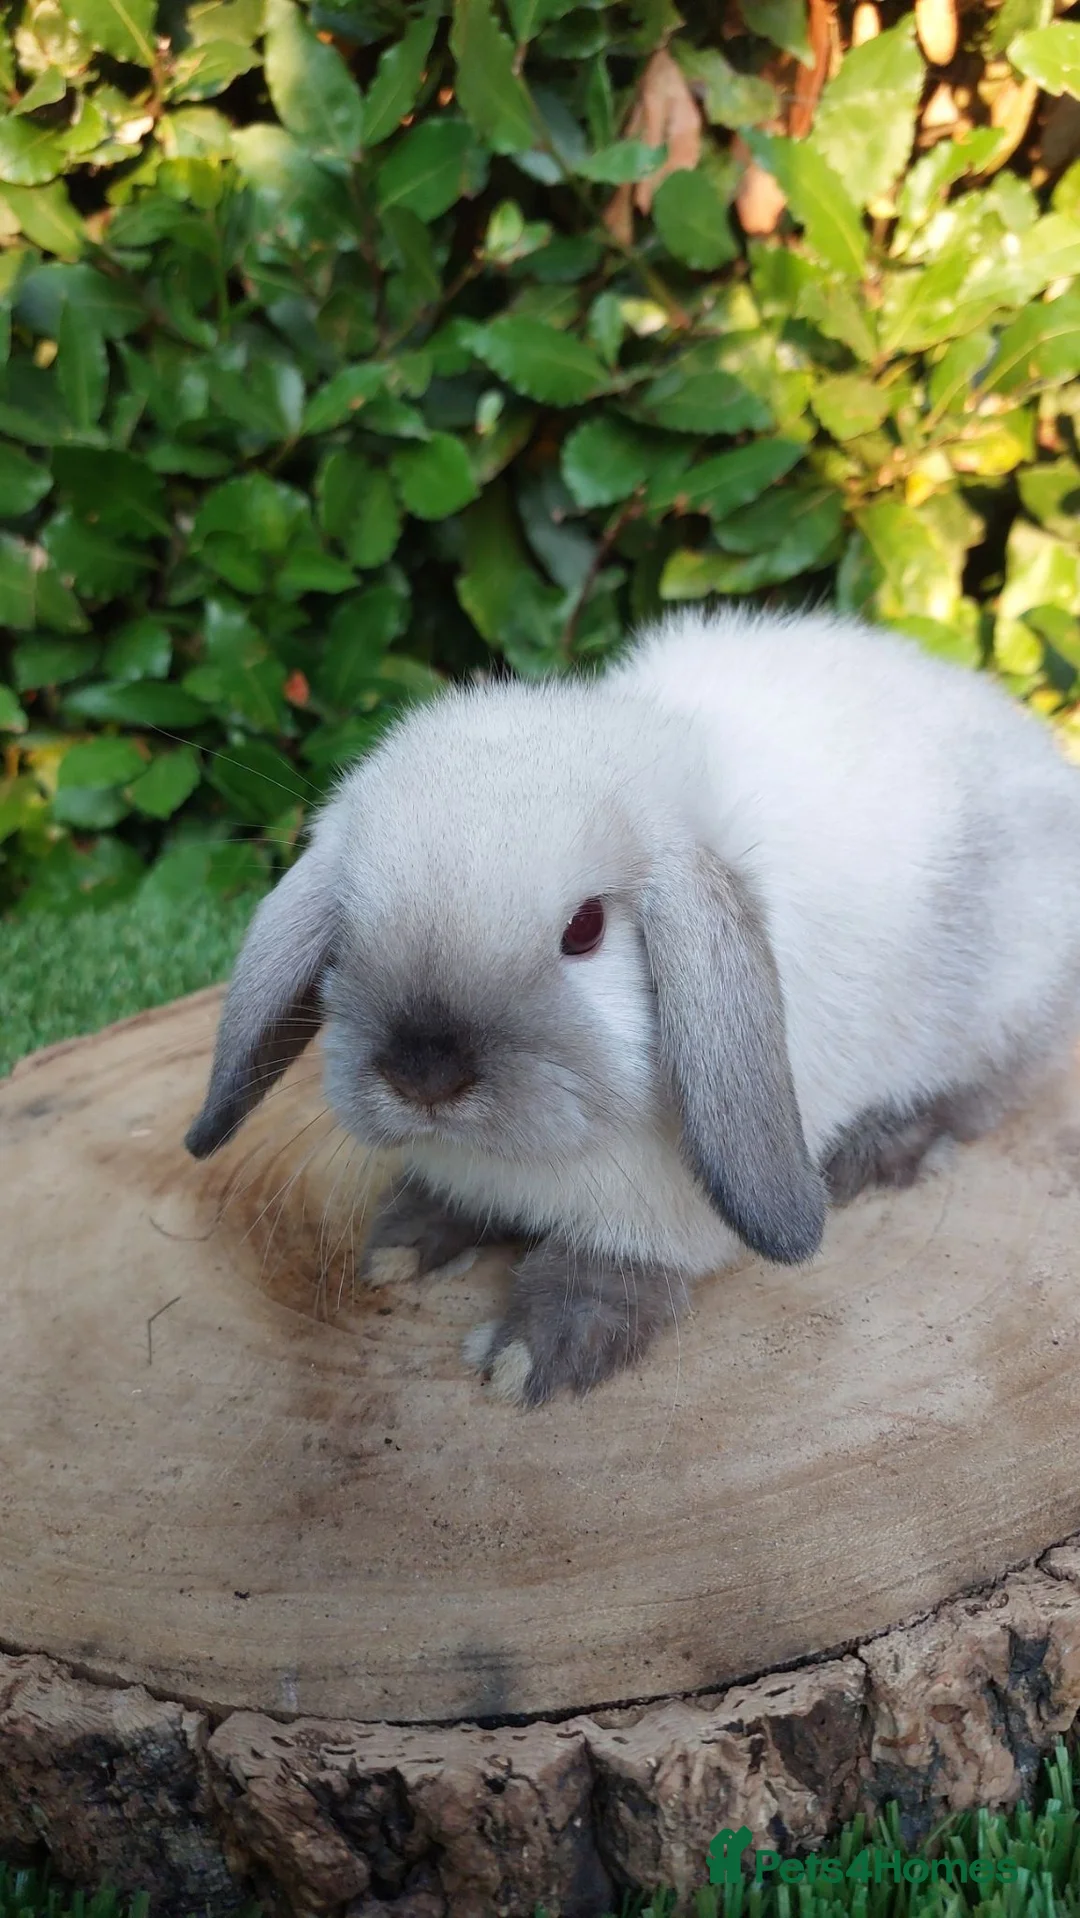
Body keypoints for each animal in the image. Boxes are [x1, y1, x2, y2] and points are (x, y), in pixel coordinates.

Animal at [185, 604, 1080, 1405]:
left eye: (585, 929)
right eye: (349, 923)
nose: (423, 1074)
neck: (531, 1162)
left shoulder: (658, 1217)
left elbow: (616, 1269)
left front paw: (537, 1350)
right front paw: (406, 1240)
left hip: (1001, 1004)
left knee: (985, 1092)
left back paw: (882, 1150)